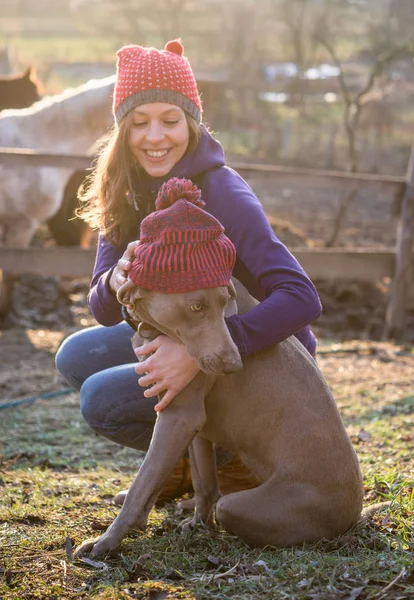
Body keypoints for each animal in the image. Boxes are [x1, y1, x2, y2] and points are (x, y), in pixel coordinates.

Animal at [76, 278, 364, 556]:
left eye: (225, 302)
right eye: (196, 307)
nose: (234, 364)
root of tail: (354, 513)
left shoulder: (179, 416)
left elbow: (142, 482)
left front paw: (107, 541)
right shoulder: (190, 419)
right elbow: (202, 481)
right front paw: (199, 524)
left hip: (241, 505)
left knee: (233, 510)